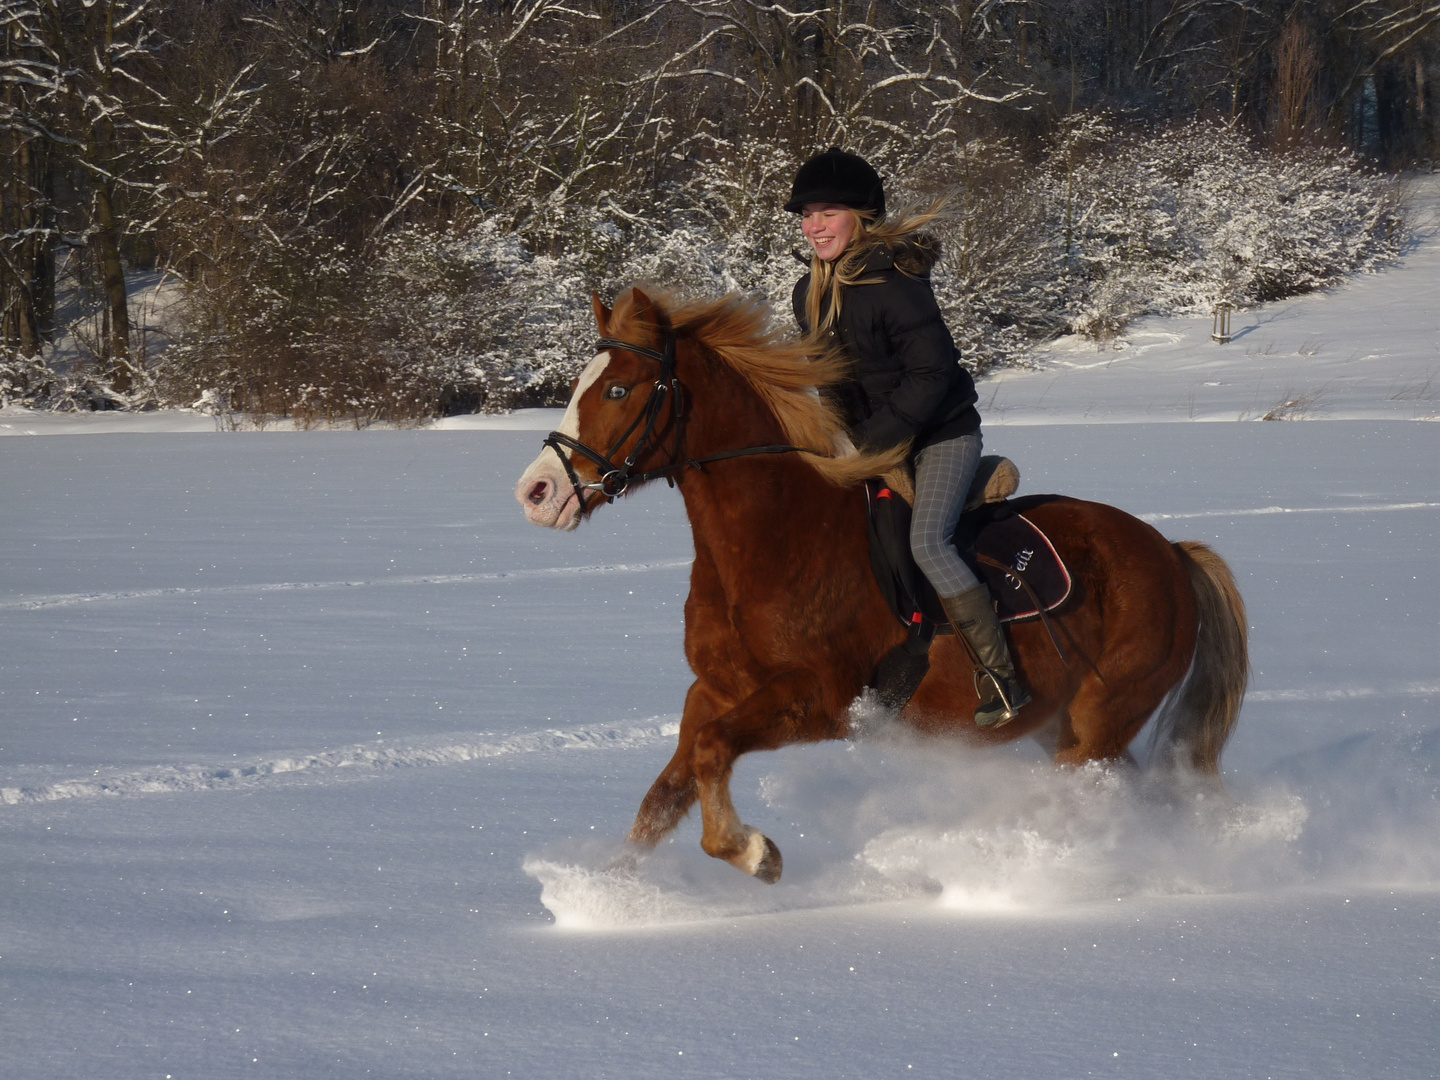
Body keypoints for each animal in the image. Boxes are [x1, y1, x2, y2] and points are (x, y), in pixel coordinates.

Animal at [518, 289, 1249, 887]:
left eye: (619, 391)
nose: (537, 491)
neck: (773, 537)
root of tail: (1169, 553)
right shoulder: (715, 691)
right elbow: (668, 792)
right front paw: (606, 894)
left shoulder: (819, 700)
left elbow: (711, 754)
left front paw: (755, 854)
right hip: (1061, 723)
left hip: (1100, 722)